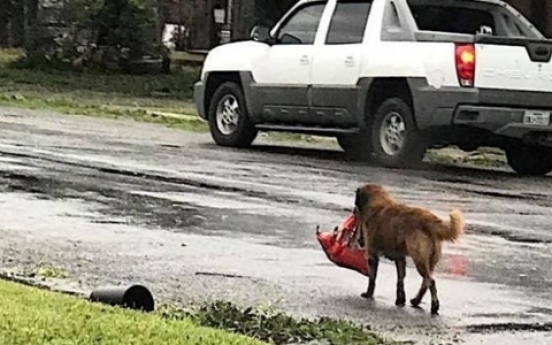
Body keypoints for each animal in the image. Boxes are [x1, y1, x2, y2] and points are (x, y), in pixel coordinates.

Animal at [352, 183, 464, 314]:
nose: (353, 210)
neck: (379, 204)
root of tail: (430, 220)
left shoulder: (372, 255)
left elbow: (372, 278)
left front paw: (368, 294)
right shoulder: (400, 259)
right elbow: (400, 280)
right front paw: (400, 300)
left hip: (419, 259)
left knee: (431, 281)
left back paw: (434, 306)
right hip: (430, 261)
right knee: (426, 281)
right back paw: (416, 301)